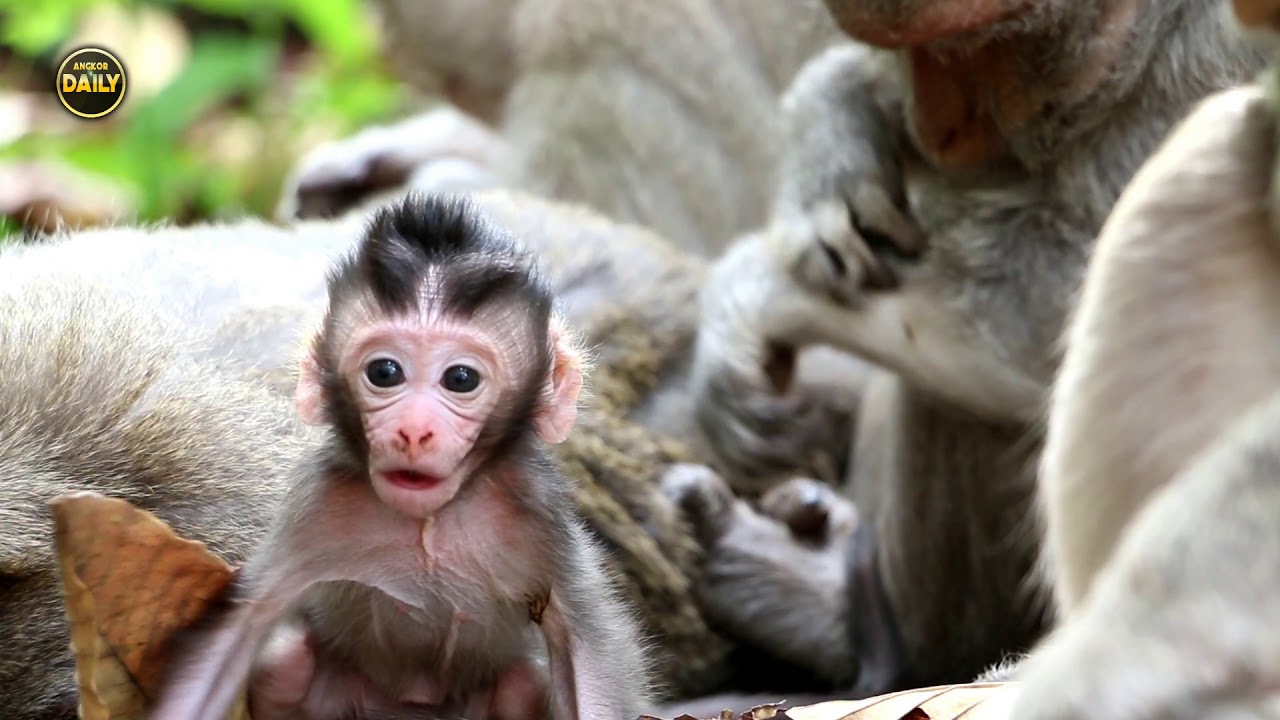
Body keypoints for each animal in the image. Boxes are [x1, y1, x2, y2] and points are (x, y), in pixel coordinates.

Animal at [148, 194, 650, 720]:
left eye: (461, 379)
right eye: (384, 372)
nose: (413, 430)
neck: (430, 524)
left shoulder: (540, 518)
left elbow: (587, 654)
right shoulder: (317, 505)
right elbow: (241, 625)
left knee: (522, 682)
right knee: (286, 660)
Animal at [659, 0, 1273, 713]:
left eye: (965, 53)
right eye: (915, 56)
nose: (939, 130)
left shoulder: (1217, 57)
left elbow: (1062, 297)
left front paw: (750, 297)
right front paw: (833, 127)